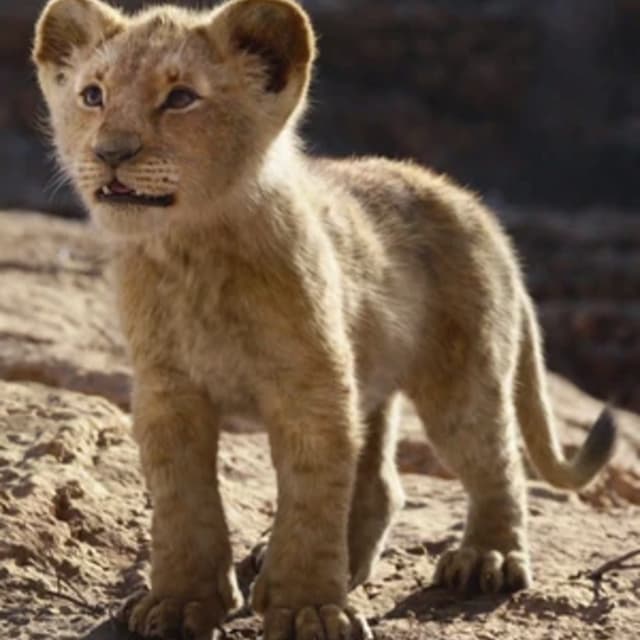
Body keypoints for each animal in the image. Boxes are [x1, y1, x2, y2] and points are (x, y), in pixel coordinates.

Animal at [33, 0, 617, 638]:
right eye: (93, 95)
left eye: (181, 97)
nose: (110, 152)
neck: (192, 251)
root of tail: (479, 211)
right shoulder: (168, 391)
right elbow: (182, 502)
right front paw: (179, 603)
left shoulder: (311, 388)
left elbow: (311, 501)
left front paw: (307, 608)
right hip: (372, 377)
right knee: (381, 484)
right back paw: (334, 564)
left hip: (462, 373)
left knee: (494, 457)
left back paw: (487, 559)